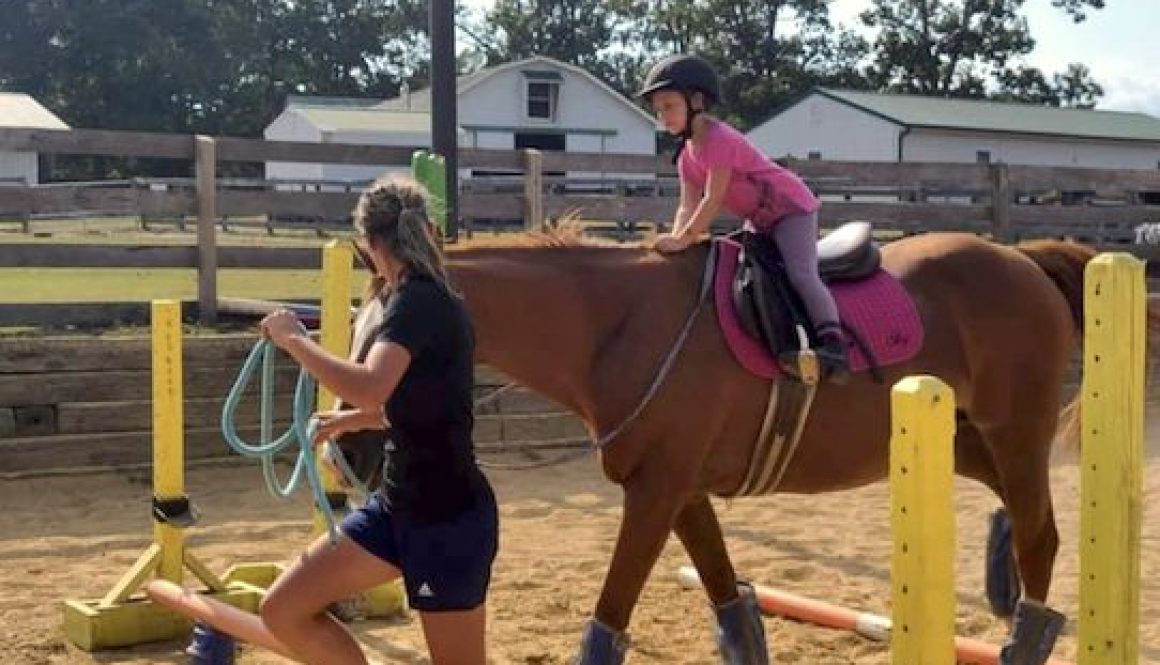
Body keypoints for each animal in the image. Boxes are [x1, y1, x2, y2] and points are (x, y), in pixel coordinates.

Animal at [443, 229, 1155, 664]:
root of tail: (1021, 259)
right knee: (1021, 514)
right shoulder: (680, 491)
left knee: (1042, 535)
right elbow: (729, 598)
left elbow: (611, 613)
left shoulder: (656, 492)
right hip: (965, 439)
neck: (618, 324)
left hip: (1014, 433)